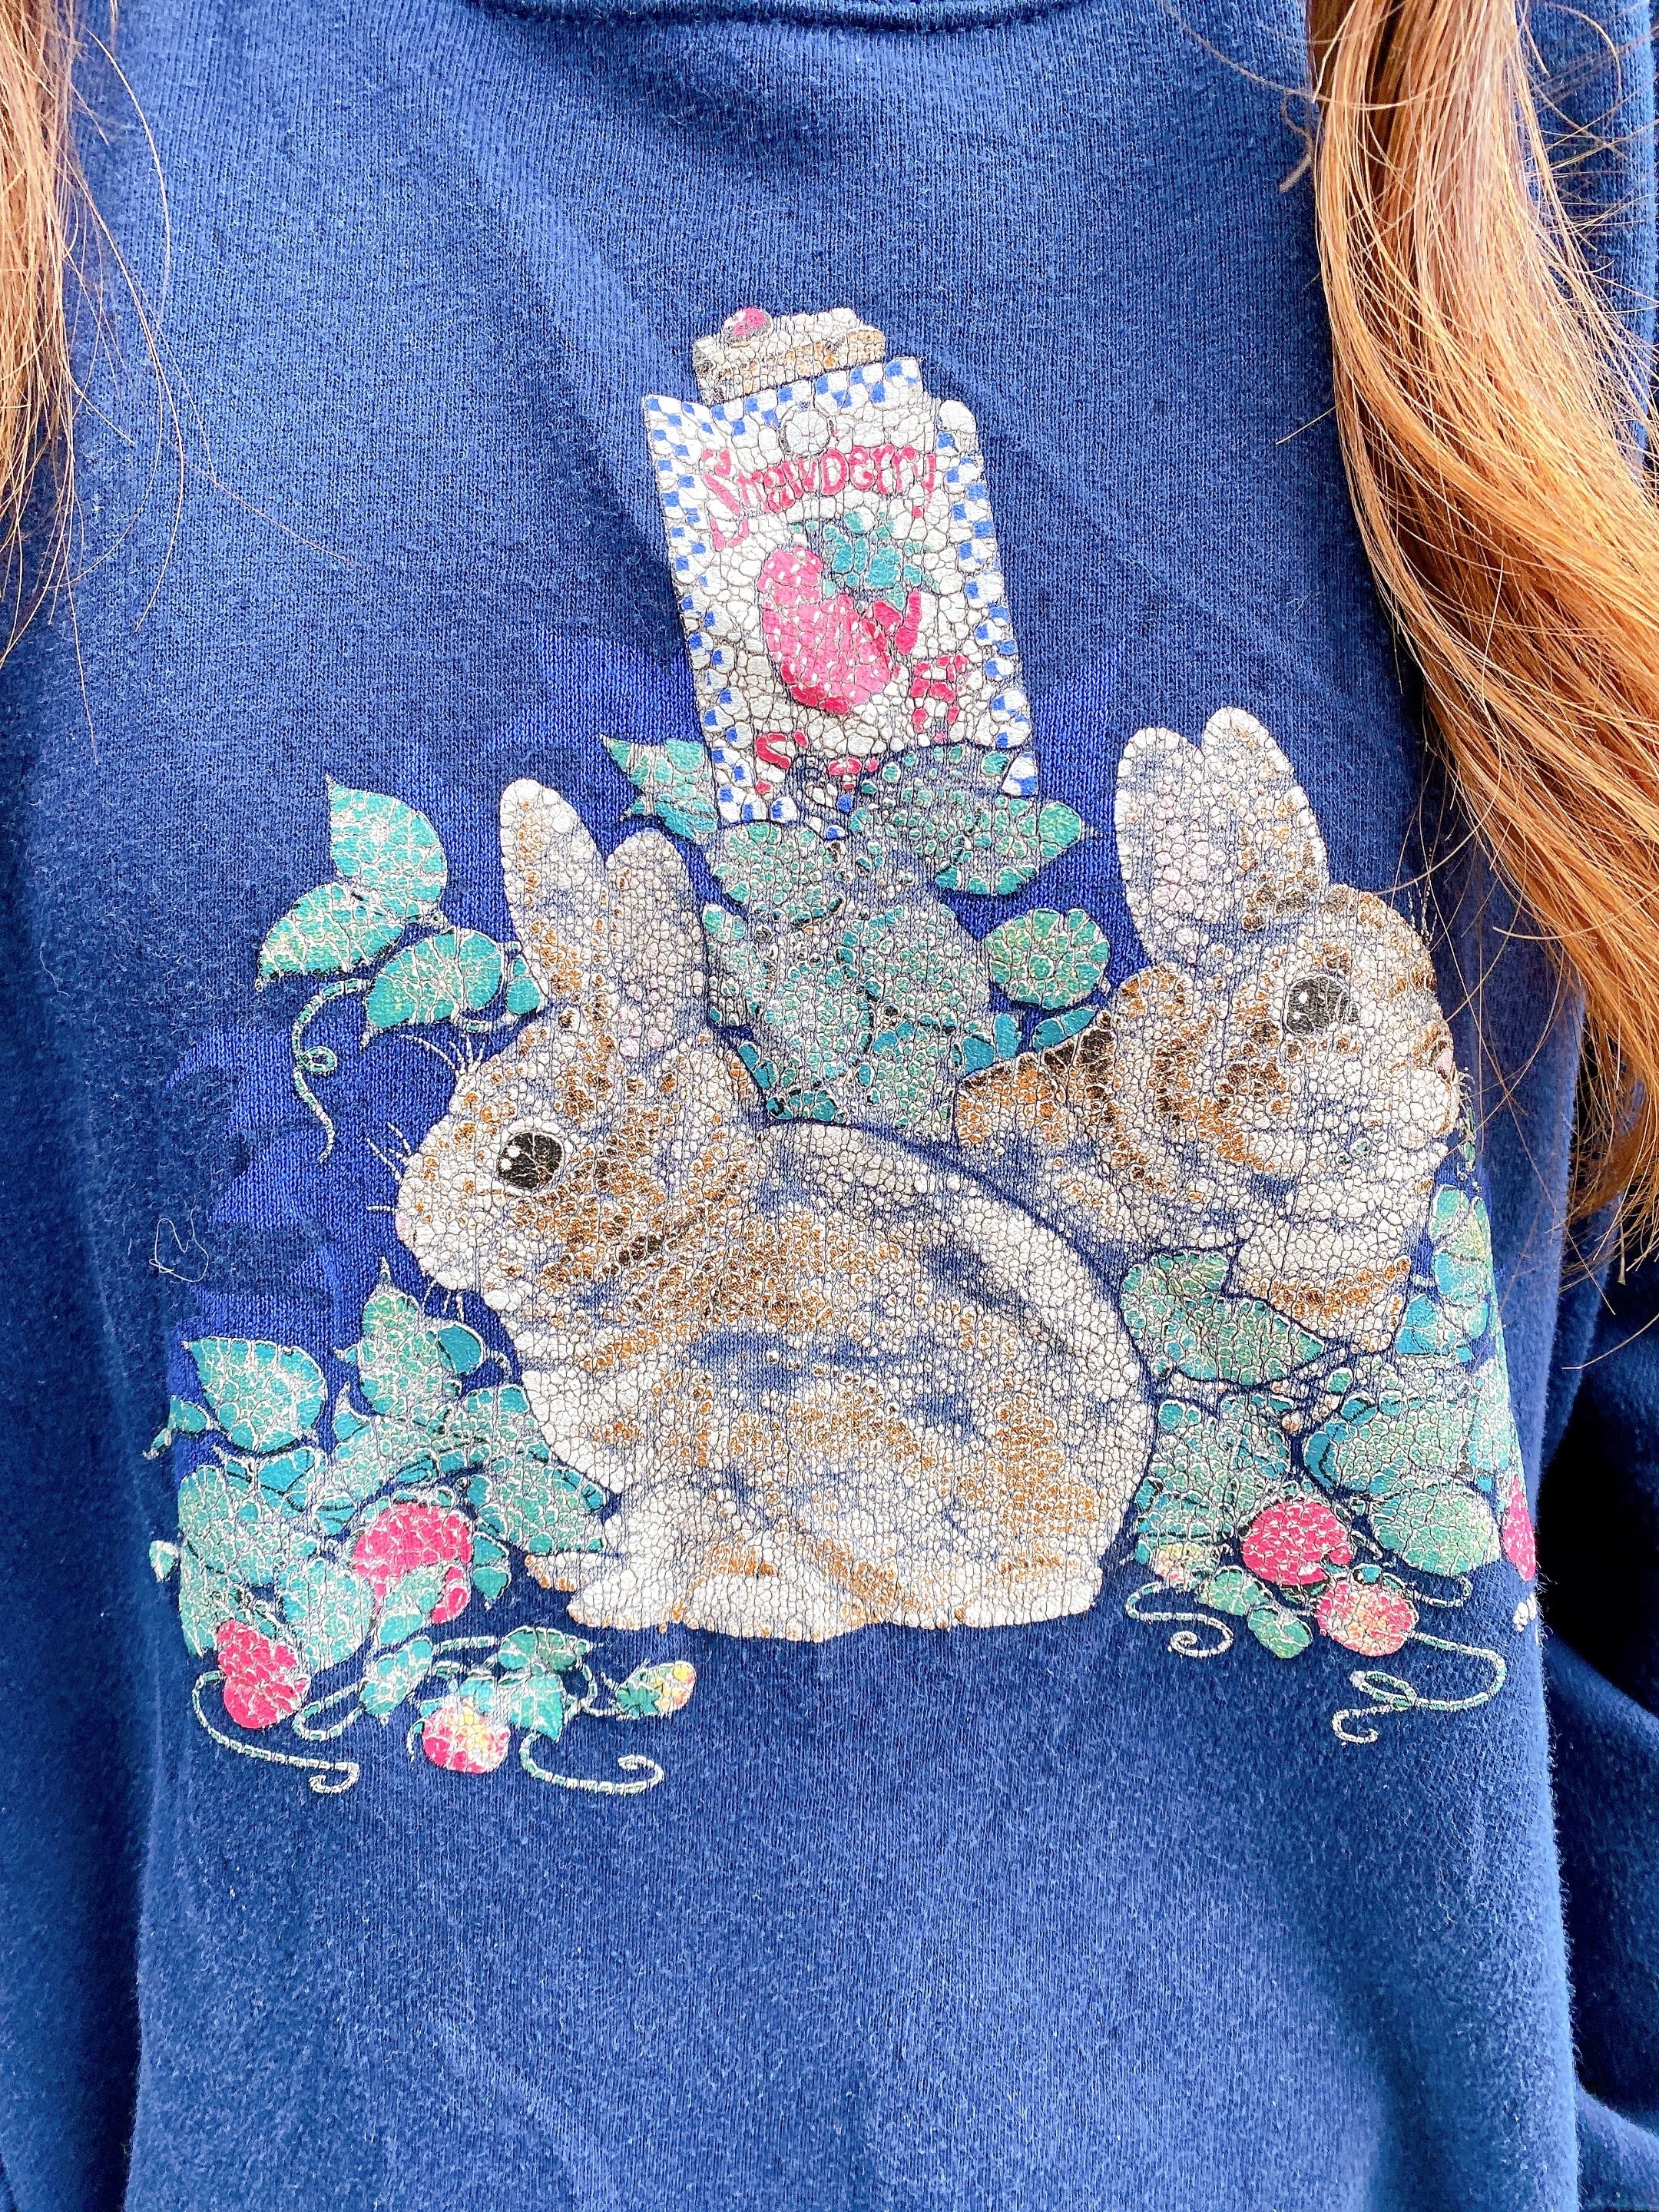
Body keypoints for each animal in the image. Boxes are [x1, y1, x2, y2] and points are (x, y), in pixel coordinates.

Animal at [396, 781, 1153, 1642]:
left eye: (528, 1160)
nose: (413, 1233)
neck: (670, 1230)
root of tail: (1074, 1551)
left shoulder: (690, 1473)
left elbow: (667, 1556)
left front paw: (605, 1600)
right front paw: (581, 1564)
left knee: (862, 1606)